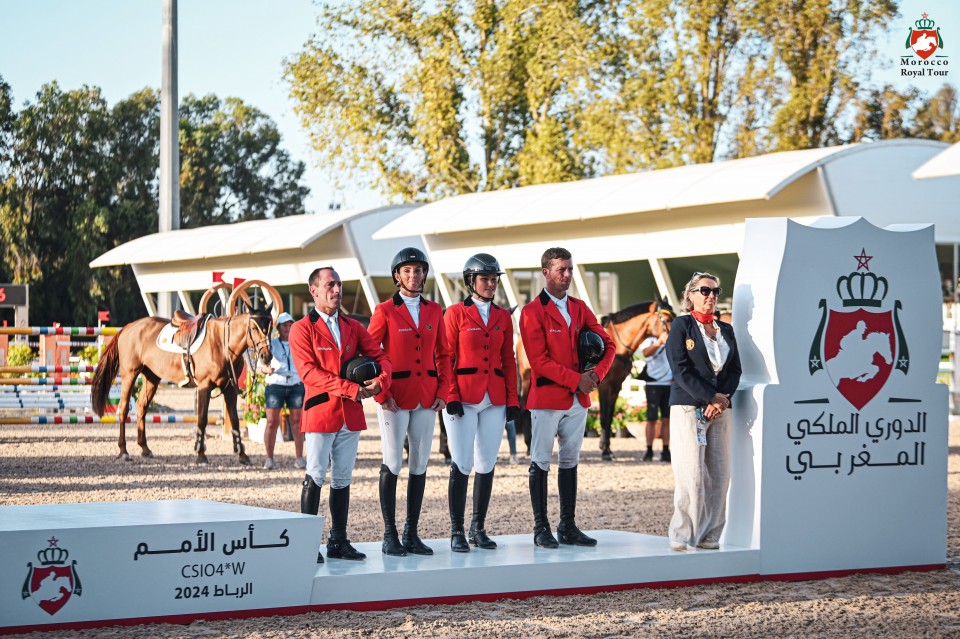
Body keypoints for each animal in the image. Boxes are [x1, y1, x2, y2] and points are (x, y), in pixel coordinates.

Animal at [90, 312, 272, 462]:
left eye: (269, 329)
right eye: (254, 328)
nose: (266, 356)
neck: (222, 343)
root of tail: (127, 328)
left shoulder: (229, 389)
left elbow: (234, 419)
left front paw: (242, 455)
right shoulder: (204, 386)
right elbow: (202, 419)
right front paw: (201, 455)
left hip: (151, 378)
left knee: (142, 407)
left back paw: (145, 449)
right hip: (129, 374)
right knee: (123, 409)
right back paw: (123, 451)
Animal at [596, 300, 672, 460]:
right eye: (667, 320)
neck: (617, 344)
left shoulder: (616, 386)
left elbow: (610, 416)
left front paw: (608, 449)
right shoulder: (604, 386)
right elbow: (604, 418)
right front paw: (605, 452)